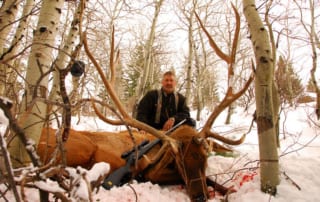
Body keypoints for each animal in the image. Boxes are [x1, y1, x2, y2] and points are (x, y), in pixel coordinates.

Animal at [37, 5, 254, 202]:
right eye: (180, 162)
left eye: (204, 159)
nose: (200, 197)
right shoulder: (151, 172)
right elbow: (195, 179)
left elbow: (216, 182)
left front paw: (229, 189)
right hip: (79, 148)